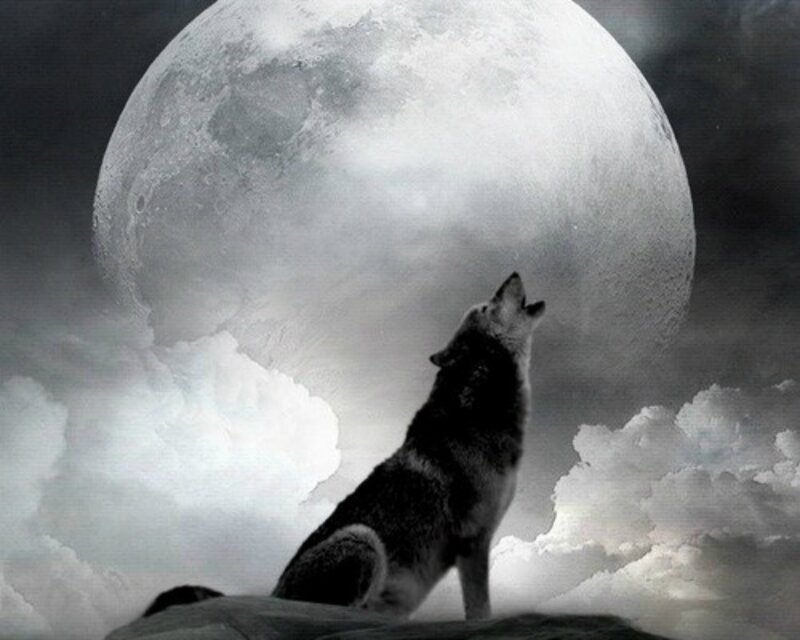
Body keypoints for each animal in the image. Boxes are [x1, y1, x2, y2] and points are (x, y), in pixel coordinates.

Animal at [272, 273, 545, 620]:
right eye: (486, 306)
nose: (512, 274)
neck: (478, 411)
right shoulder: (473, 542)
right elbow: (480, 609)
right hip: (362, 537)